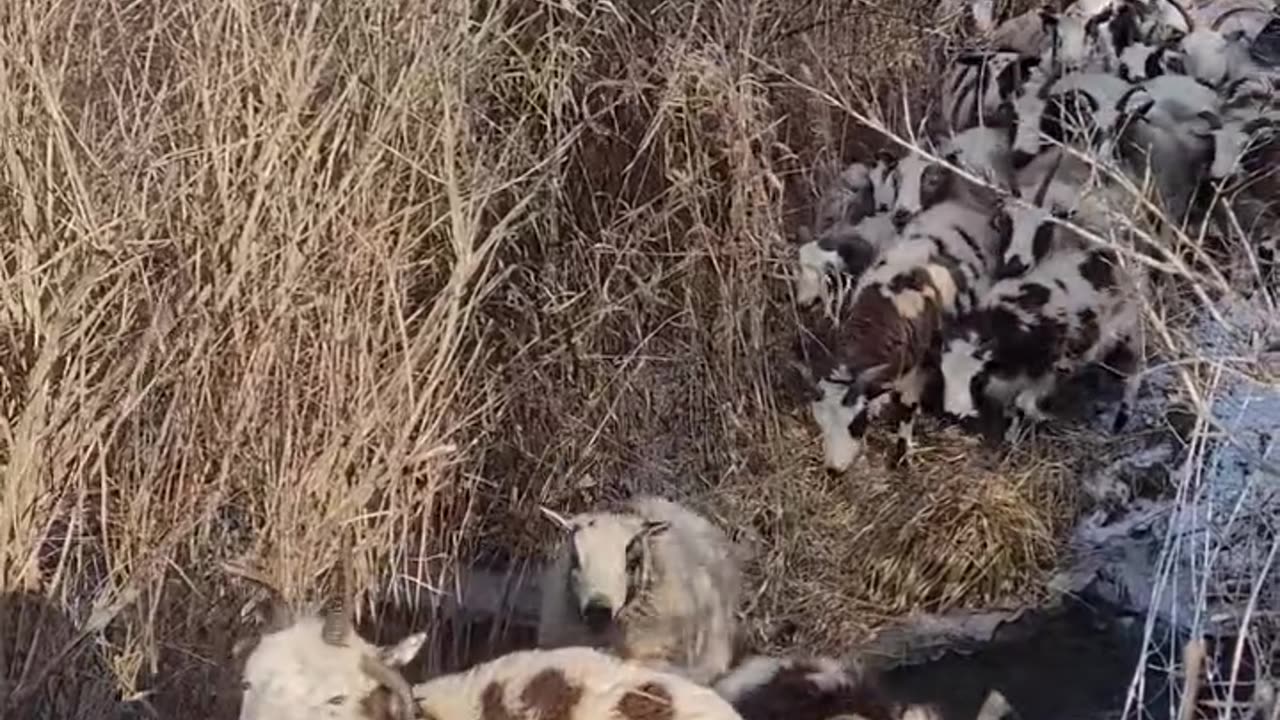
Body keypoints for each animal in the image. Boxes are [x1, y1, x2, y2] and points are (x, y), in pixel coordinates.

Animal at [936, 243, 1146, 435]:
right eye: (943, 373)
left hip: (1127, 335)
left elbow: (1026, 401)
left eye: (976, 378)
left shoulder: (1048, 367)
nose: (954, 413)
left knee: (1132, 375)